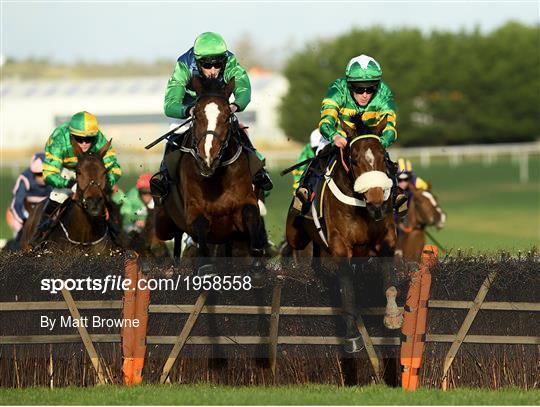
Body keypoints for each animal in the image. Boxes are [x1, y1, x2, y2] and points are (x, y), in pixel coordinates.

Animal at [154, 76, 266, 278]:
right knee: (175, 242)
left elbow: (250, 213)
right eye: (196, 115)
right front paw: (206, 267)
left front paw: (257, 260)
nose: (208, 159)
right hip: (164, 224)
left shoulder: (246, 201)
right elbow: (200, 223)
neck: (216, 178)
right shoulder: (193, 210)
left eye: (227, 116)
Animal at [284, 114, 402, 354]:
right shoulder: (340, 246)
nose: (376, 200)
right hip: (296, 234)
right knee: (294, 246)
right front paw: (352, 336)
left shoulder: (386, 239)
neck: (361, 207)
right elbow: (347, 290)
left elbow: (389, 281)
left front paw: (393, 315)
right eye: (354, 160)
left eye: (383, 157)